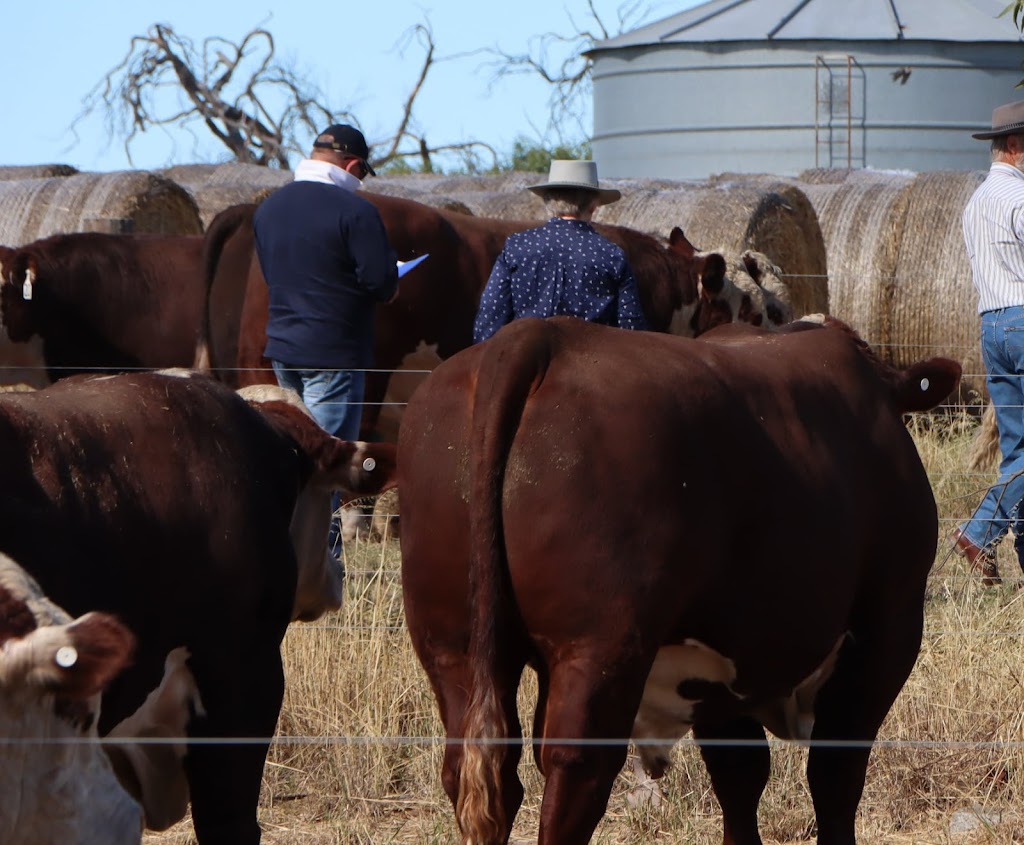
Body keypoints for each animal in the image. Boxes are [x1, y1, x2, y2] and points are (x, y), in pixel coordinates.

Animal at [397, 315, 958, 843]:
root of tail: (533, 336)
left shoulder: (723, 671)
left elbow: (741, 780)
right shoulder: (888, 626)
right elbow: (834, 775)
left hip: (452, 646)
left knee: (480, 770)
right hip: (599, 648)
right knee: (574, 769)